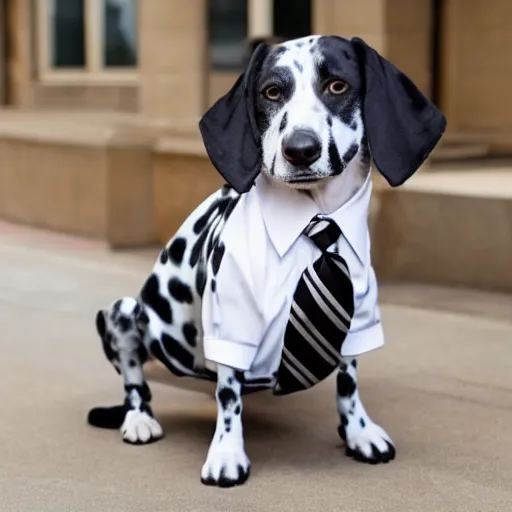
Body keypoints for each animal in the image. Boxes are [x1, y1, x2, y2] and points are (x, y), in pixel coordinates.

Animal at [88, 34, 444, 486]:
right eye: (272, 92)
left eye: (337, 86)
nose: (300, 149)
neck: (315, 222)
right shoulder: (231, 325)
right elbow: (228, 396)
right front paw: (226, 452)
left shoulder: (359, 320)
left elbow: (348, 383)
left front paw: (358, 432)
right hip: (121, 313)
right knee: (137, 385)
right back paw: (138, 420)